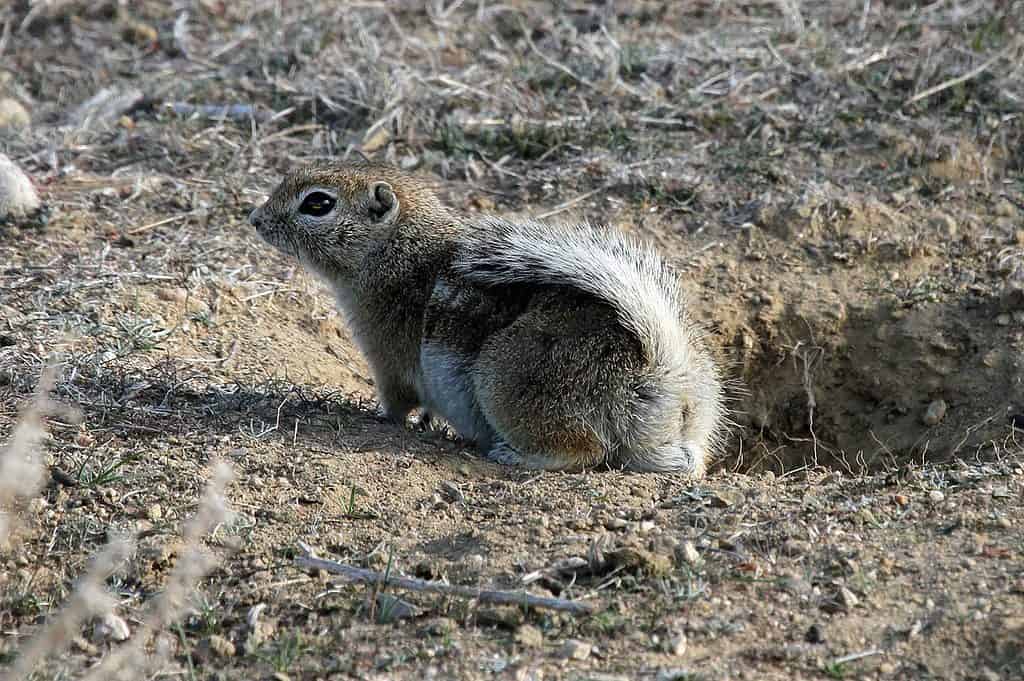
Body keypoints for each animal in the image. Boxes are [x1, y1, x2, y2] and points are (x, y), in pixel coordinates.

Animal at [250, 161, 724, 475]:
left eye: (318, 203)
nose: (255, 218)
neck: (396, 250)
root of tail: (661, 374)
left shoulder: (386, 357)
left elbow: (397, 401)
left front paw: (381, 419)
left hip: (505, 381)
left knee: (583, 451)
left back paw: (513, 454)